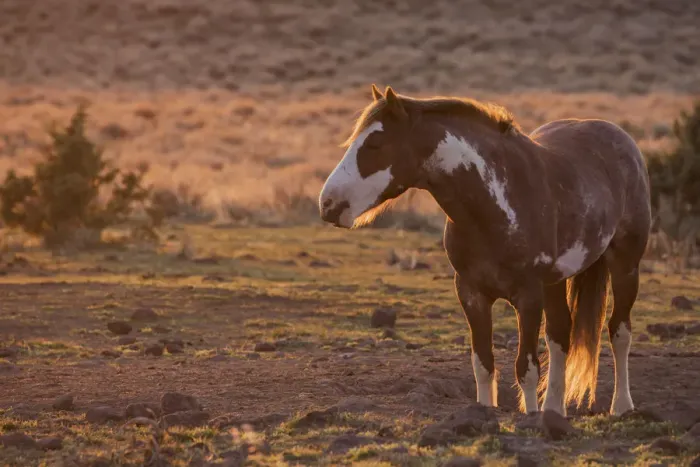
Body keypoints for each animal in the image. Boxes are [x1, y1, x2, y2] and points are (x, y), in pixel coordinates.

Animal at [318, 84, 651, 416]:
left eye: (375, 143)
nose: (328, 204)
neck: (494, 205)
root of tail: (622, 140)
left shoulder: (528, 297)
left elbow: (526, 368)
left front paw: (531, 417)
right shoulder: (472, 294)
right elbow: (483, 364)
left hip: (625, 266)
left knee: (619, 332)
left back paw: (621, 407)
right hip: (555, 283)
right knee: (560, 335)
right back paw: (554, 411)